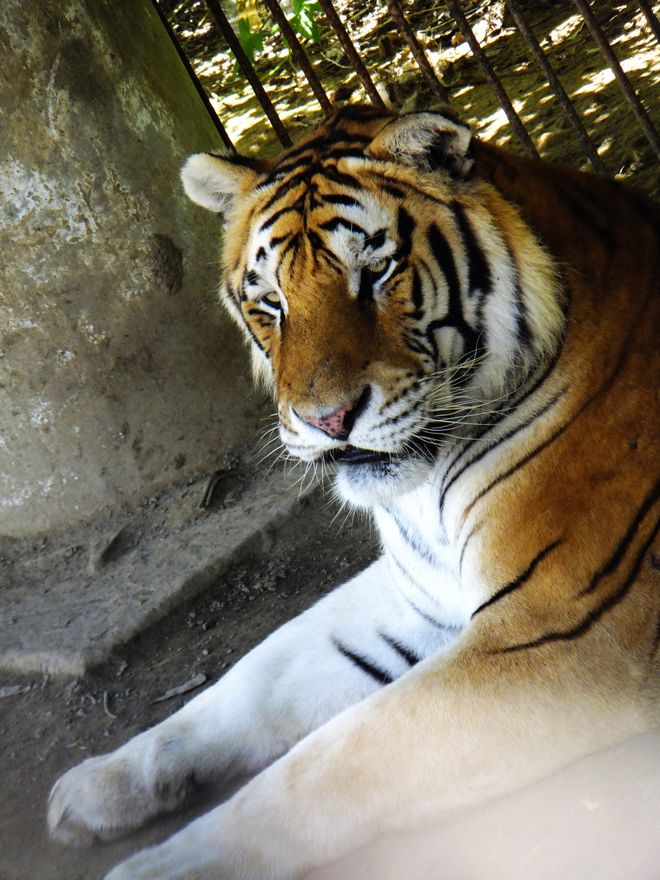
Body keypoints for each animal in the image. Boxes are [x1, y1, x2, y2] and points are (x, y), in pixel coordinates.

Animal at [48, 105, 659, 880]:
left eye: (376, 274)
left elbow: (325, 764)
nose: (327, 420)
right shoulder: (418, 596)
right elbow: (255, 675)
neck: (427, 489)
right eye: (271, 300)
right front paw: (100, 782)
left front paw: (158, 868)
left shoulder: (562, 631)